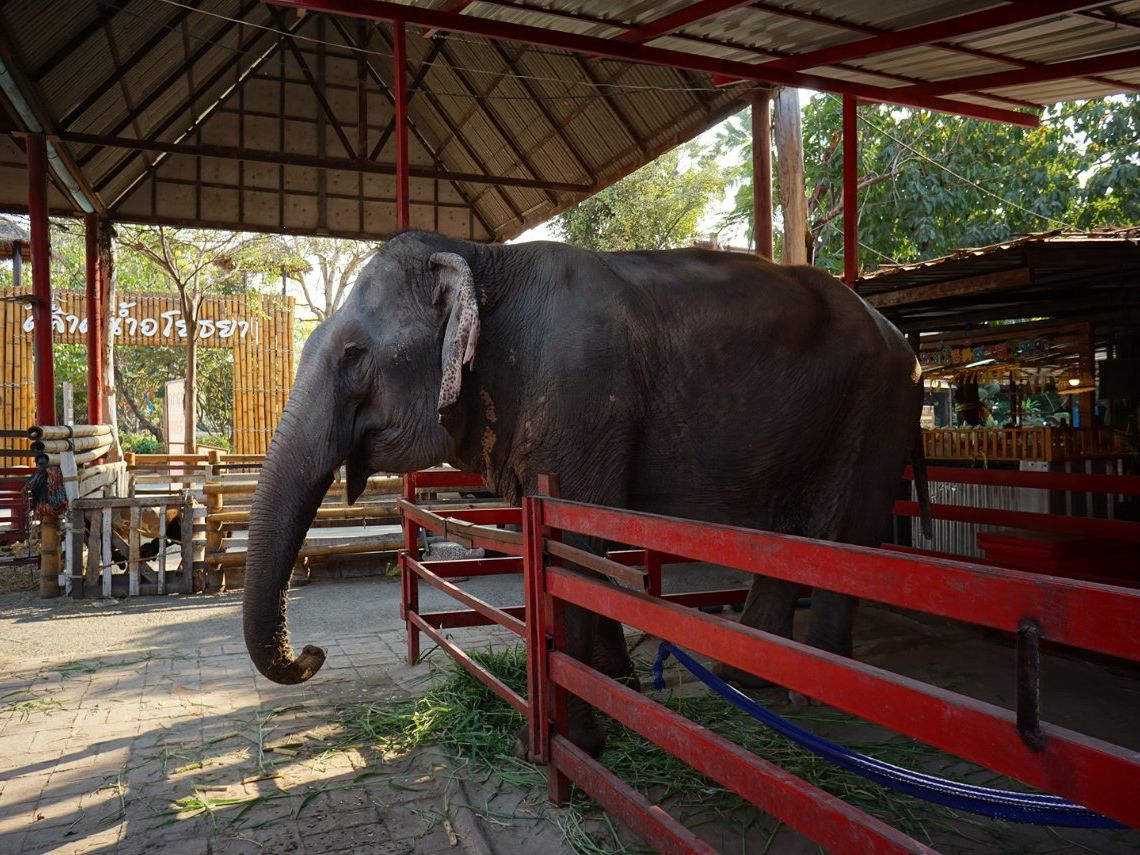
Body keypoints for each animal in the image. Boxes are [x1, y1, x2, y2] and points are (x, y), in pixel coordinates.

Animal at [243, 230, 931, 757]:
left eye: (354, 357)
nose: (313, 652)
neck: (482, 257)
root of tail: (902, 339)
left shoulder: (580, 394)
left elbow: (567, 547)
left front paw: (560, 745)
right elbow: (582, 549)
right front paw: (615, 681)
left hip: (879, 406)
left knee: (843, 535)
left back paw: (823, 702)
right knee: (786, 538)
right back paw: (746, 680)